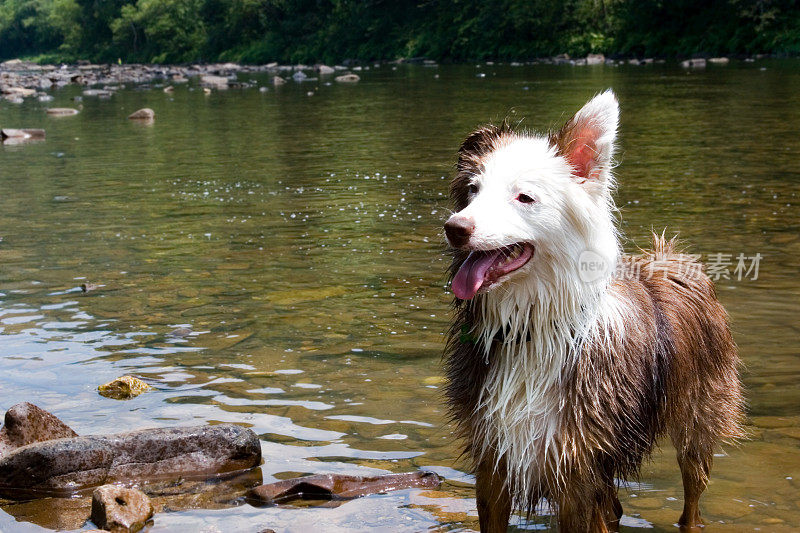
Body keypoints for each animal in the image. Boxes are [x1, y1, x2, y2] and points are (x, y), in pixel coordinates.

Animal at [444, 89, 744, 528]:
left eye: (524, 197)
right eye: (472, 190)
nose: (454, 228)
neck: (532, 327)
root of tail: (672, 259)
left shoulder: (580, 469)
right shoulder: (494, 460)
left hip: (699, 416)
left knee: (693, 497)